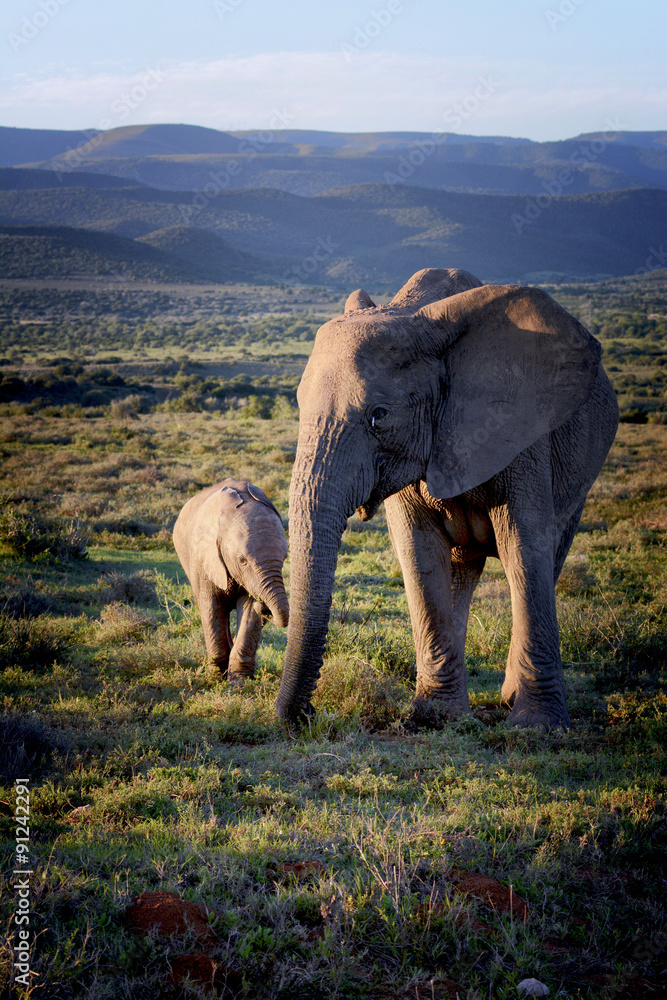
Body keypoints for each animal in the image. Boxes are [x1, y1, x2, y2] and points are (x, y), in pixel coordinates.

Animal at [173, 478, 289, 681]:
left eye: (284, 558)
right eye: (242, 560)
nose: (263, 606)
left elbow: (249, 612)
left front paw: (239, 682)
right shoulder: (203, 558)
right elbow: (211, 608)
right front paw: (215, 679)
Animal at [276, 267, 619, 729]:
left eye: (379, 415)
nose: (310, 713)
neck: (414, 318)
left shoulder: (522, 434)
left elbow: (524, 549)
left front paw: (539, 727)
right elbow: (420, 553)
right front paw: (436, 717)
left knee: (548, 556)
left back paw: (510, 698)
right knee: (461, 568)